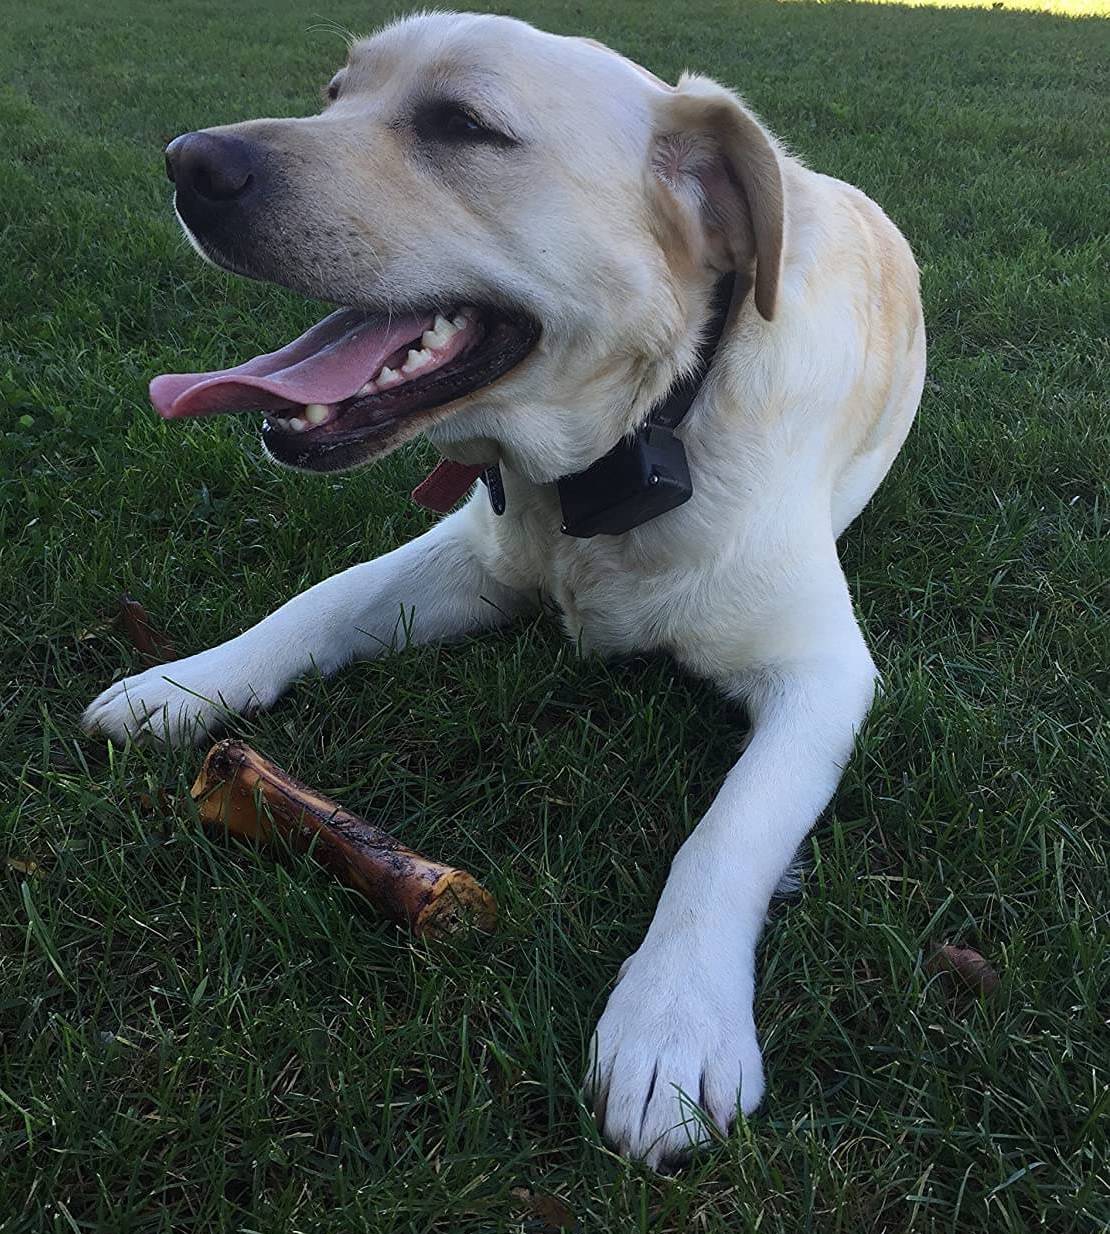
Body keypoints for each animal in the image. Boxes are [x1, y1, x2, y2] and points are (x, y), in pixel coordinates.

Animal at [82, 9, 922, 1164]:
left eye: (462, 125)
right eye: (335, 91)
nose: (188, 161)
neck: (634, 440)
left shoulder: (823, 670)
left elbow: (728, 832)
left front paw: (674, 1020)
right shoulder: (475, 556)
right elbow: (316, 602)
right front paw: (183, 685)